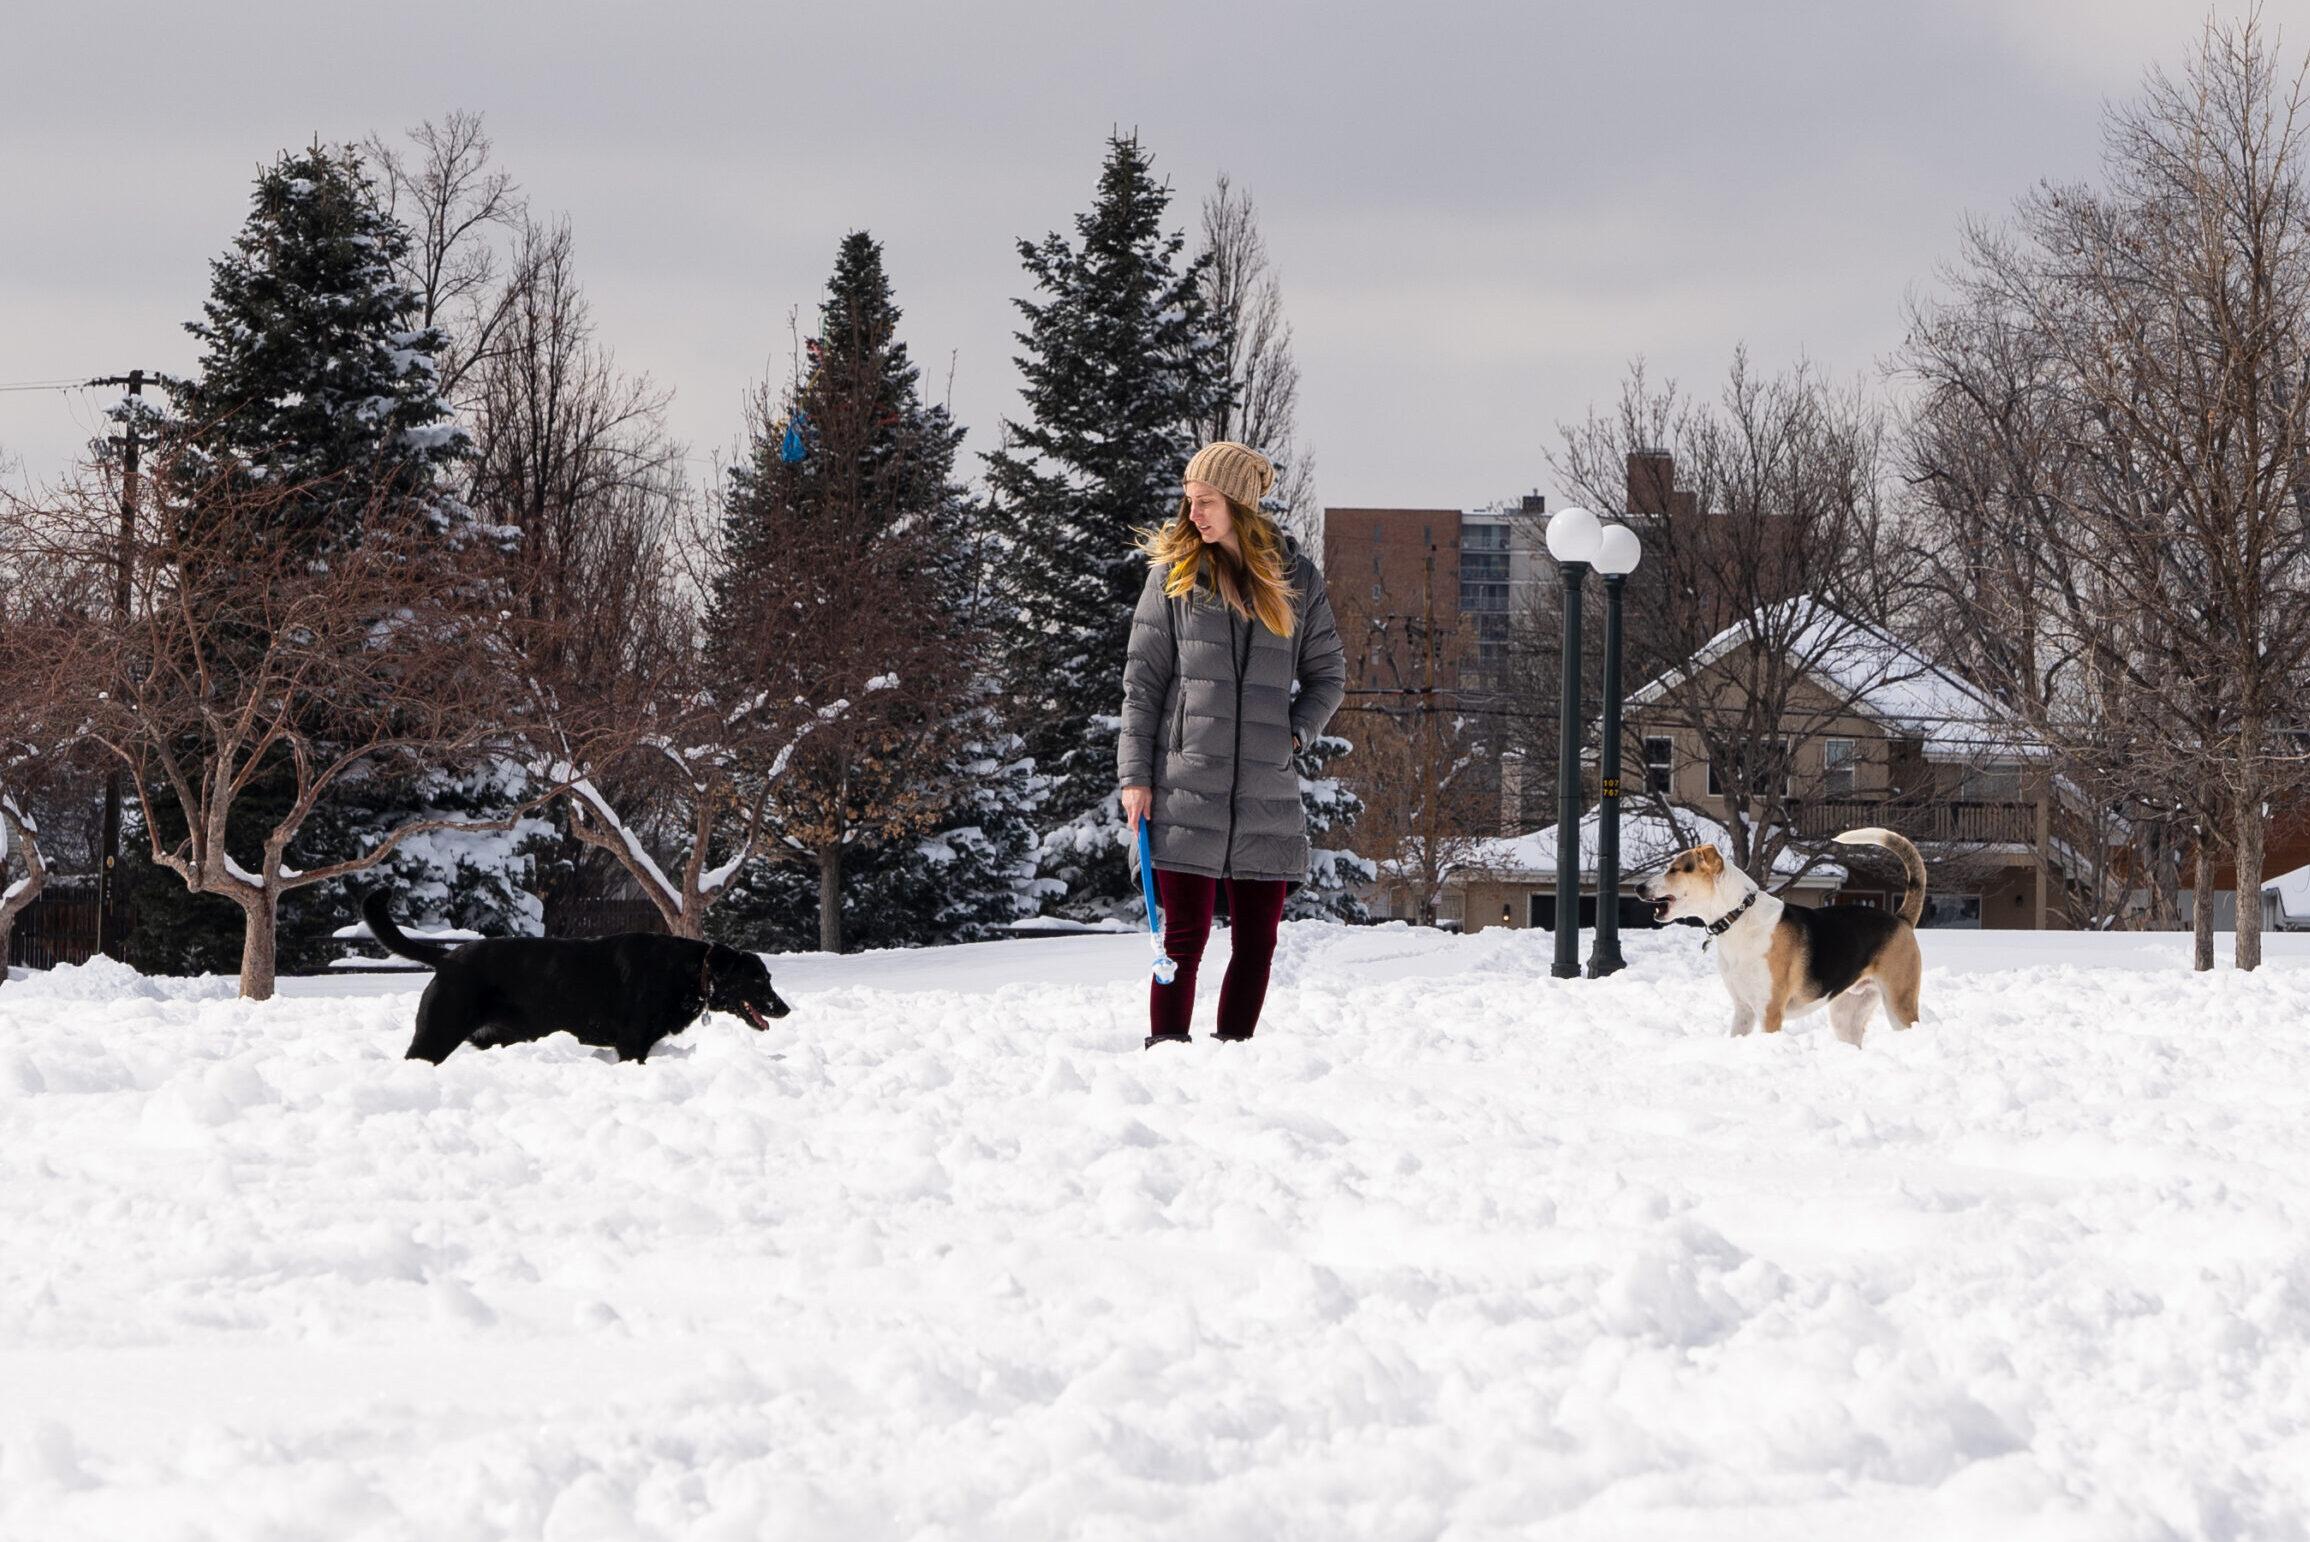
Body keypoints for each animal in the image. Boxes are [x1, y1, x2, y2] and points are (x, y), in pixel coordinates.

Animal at [362, 891, 794, 1061]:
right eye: (760, 979)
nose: (785, 1009)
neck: (687, 972)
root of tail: (449, 957)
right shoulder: (632, 1044)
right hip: (435, 1036)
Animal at [1644, 831, 1931, 1048]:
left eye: (1674, 870)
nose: (1639, 887)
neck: (1738, 916)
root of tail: (1900, 919)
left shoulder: (1769, 1012)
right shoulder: (1743, 1010)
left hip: (1899, 1004)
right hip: (1846, 1015)